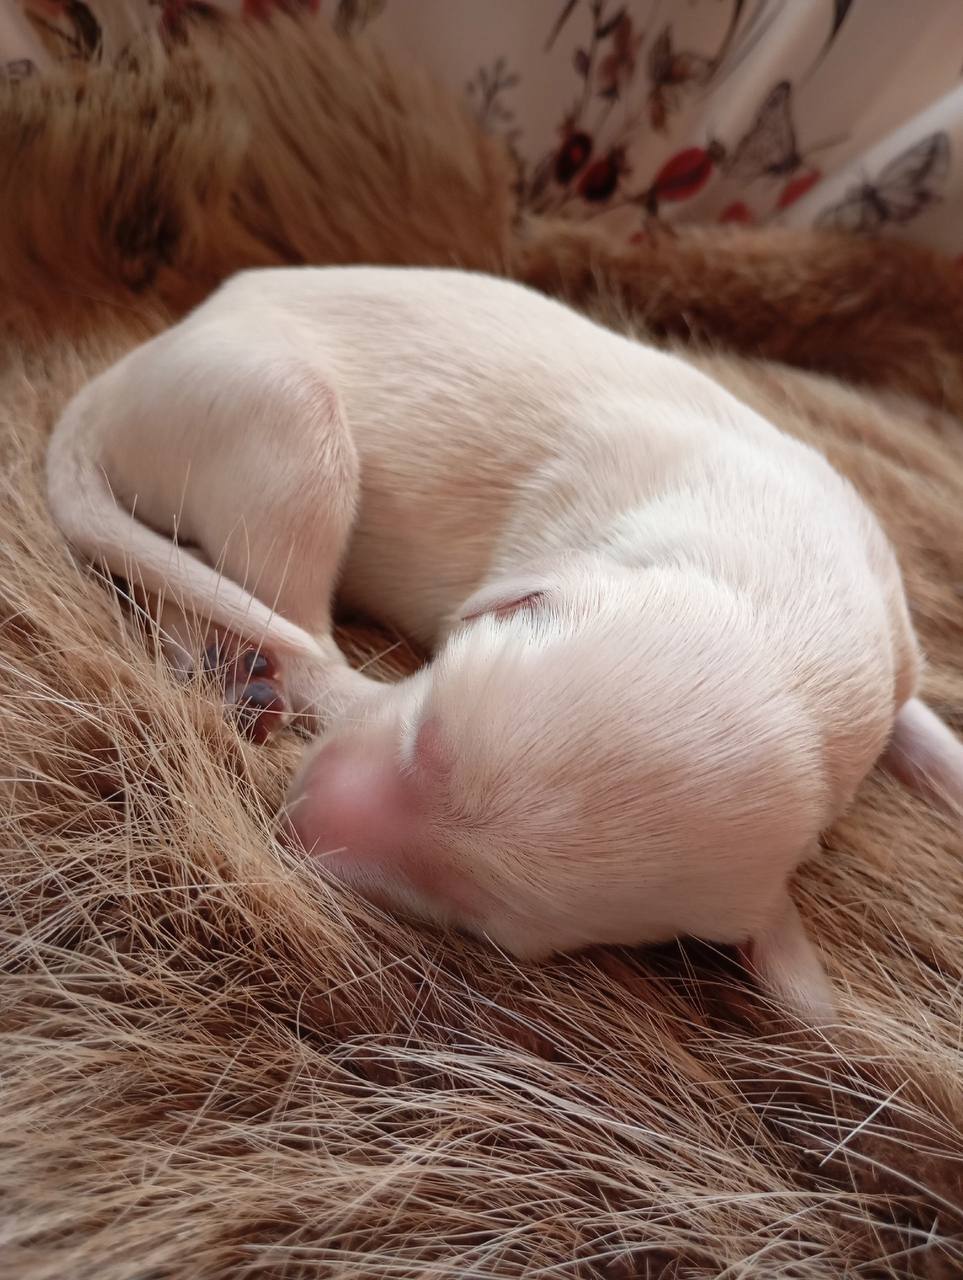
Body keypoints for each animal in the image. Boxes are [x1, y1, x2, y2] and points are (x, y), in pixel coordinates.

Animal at [47, 267, 962, 1018]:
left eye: (472, 914)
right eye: (425, 731)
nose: (295, 820)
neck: (784, 588)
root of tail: (128, 370)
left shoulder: (892, 645)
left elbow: (920, 724)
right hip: (285, 425)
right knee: (282, 617)